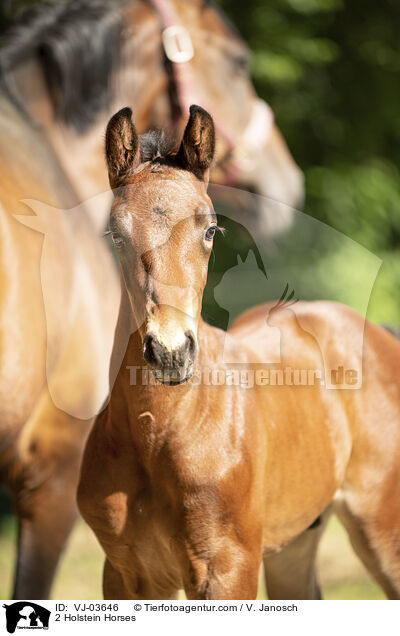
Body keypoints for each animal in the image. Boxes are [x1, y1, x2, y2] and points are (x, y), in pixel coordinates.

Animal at [77, 105, 400, 600]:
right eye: (115, 234)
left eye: (211, 228)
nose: (170, 352)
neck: (159, 434)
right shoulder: (126, 574)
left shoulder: (228, 568)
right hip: (294, 544)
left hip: (382, 527)